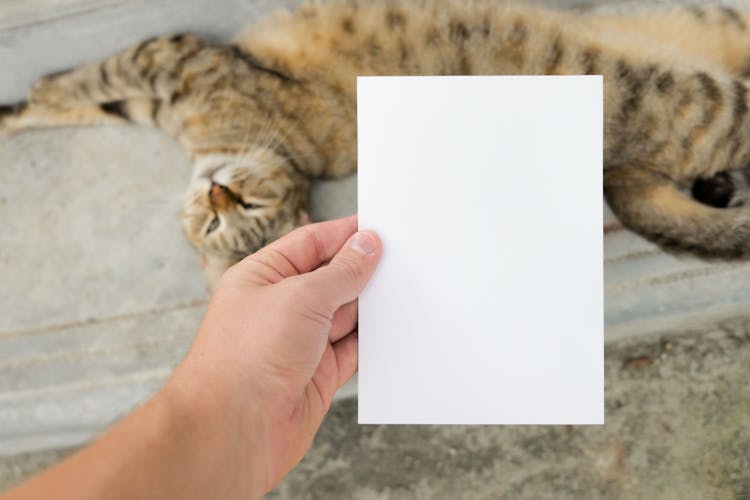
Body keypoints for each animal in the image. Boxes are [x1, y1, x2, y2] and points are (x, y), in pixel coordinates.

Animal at [1, 0, 750, 290]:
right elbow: (85, 101)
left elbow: (84, 83)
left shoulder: (169, 61)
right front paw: (20, 108)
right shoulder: (160, 84)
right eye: (216, 225)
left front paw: (26, 95)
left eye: (249, 209)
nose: (217, 192)